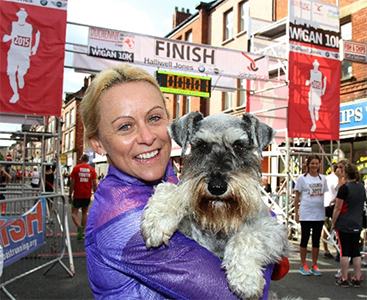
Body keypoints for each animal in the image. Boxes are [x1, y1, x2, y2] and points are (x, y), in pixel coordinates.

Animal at [142, 112, 292, 300]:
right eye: (202, 146)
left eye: (238, 146)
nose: (217, 187)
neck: (220, 220)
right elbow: (174, 189)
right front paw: (157, 221)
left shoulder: (275, 232)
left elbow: (244, 237)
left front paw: (246, 280)